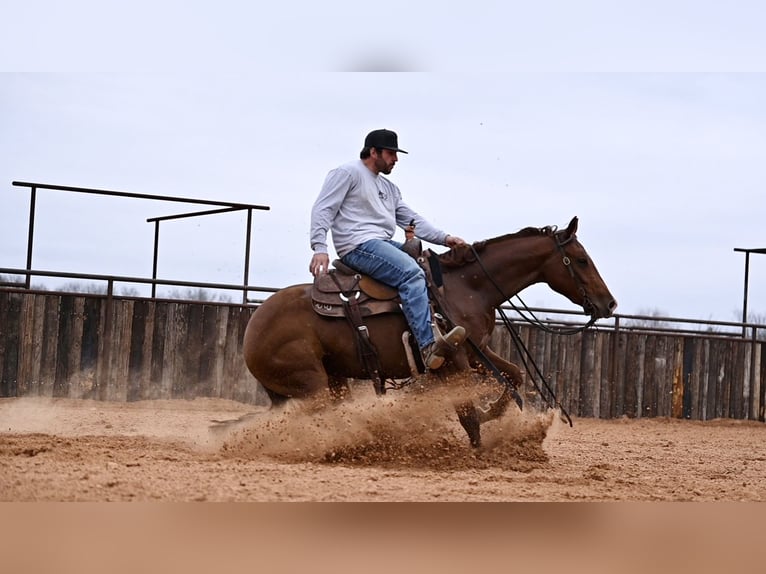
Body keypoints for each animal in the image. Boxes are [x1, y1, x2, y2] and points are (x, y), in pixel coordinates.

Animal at [244, 218, 616, 448]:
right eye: (581, 260)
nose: (609, 304)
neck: (467, 288)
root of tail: (252, 331)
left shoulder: (477, 350)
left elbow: (514, 376)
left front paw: (492, 414)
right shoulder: (456, 360)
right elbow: (468, 415)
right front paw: (480, 450)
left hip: (331, 381)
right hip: (313, 384)